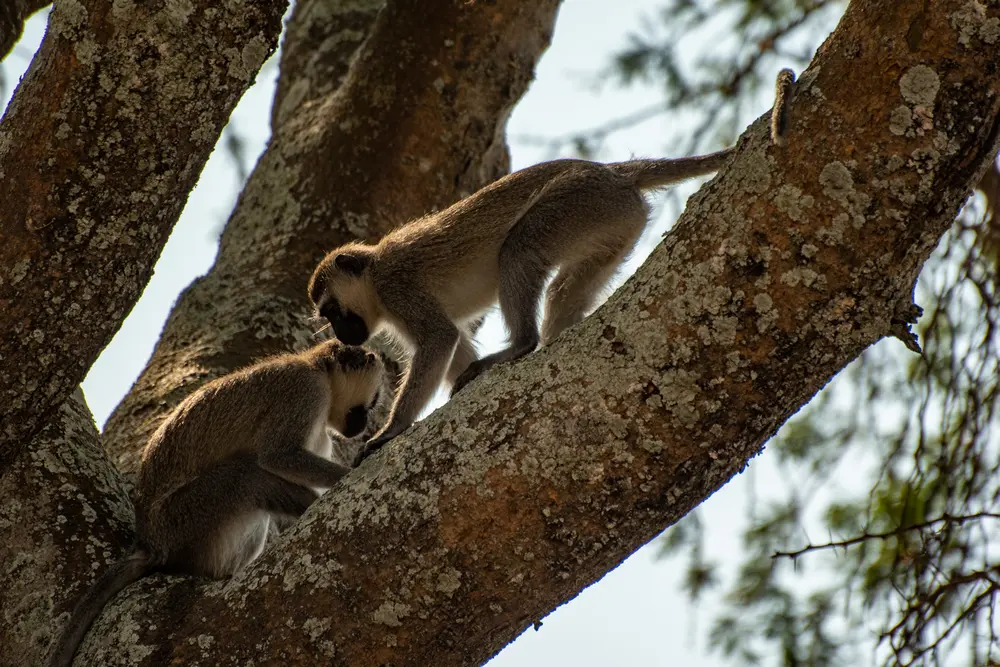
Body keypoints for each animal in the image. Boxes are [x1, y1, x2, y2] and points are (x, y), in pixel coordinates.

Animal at [46, 339, 382, 667]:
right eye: (371, 403)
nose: (364, 424)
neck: (317, 367)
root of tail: (150, 541)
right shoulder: (304, 391)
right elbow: (280, 457)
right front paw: (354, 469)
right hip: (186, 516)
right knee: (246, 474)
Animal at [309, 69, 797, 464]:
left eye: (331, 311)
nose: (341, 333)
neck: (373, 275)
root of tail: (612, 172)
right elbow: (457, 344)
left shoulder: (399, 287)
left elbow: (440, 338)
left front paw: (391, 431)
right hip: (615, 221)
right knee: (564, 287)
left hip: (577, 201)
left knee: (519, 250)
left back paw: (522, 344)